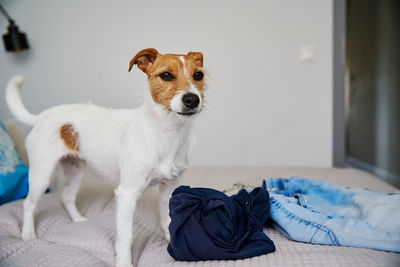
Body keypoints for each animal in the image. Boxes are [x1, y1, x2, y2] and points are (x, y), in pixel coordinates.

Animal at [5, 48, 206, 267]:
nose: (192, 100)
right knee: (28, 203)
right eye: (166, 75)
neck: (165, 132)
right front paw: (124, 262)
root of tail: (40, 117)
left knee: (67, 196)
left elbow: (168, 220)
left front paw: (173, 244)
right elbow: (126, 236)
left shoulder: (168, 187)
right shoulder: (127, 193)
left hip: (75, 169)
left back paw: (78, 220)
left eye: (198, 75)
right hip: (41, 174)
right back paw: (28, 234)